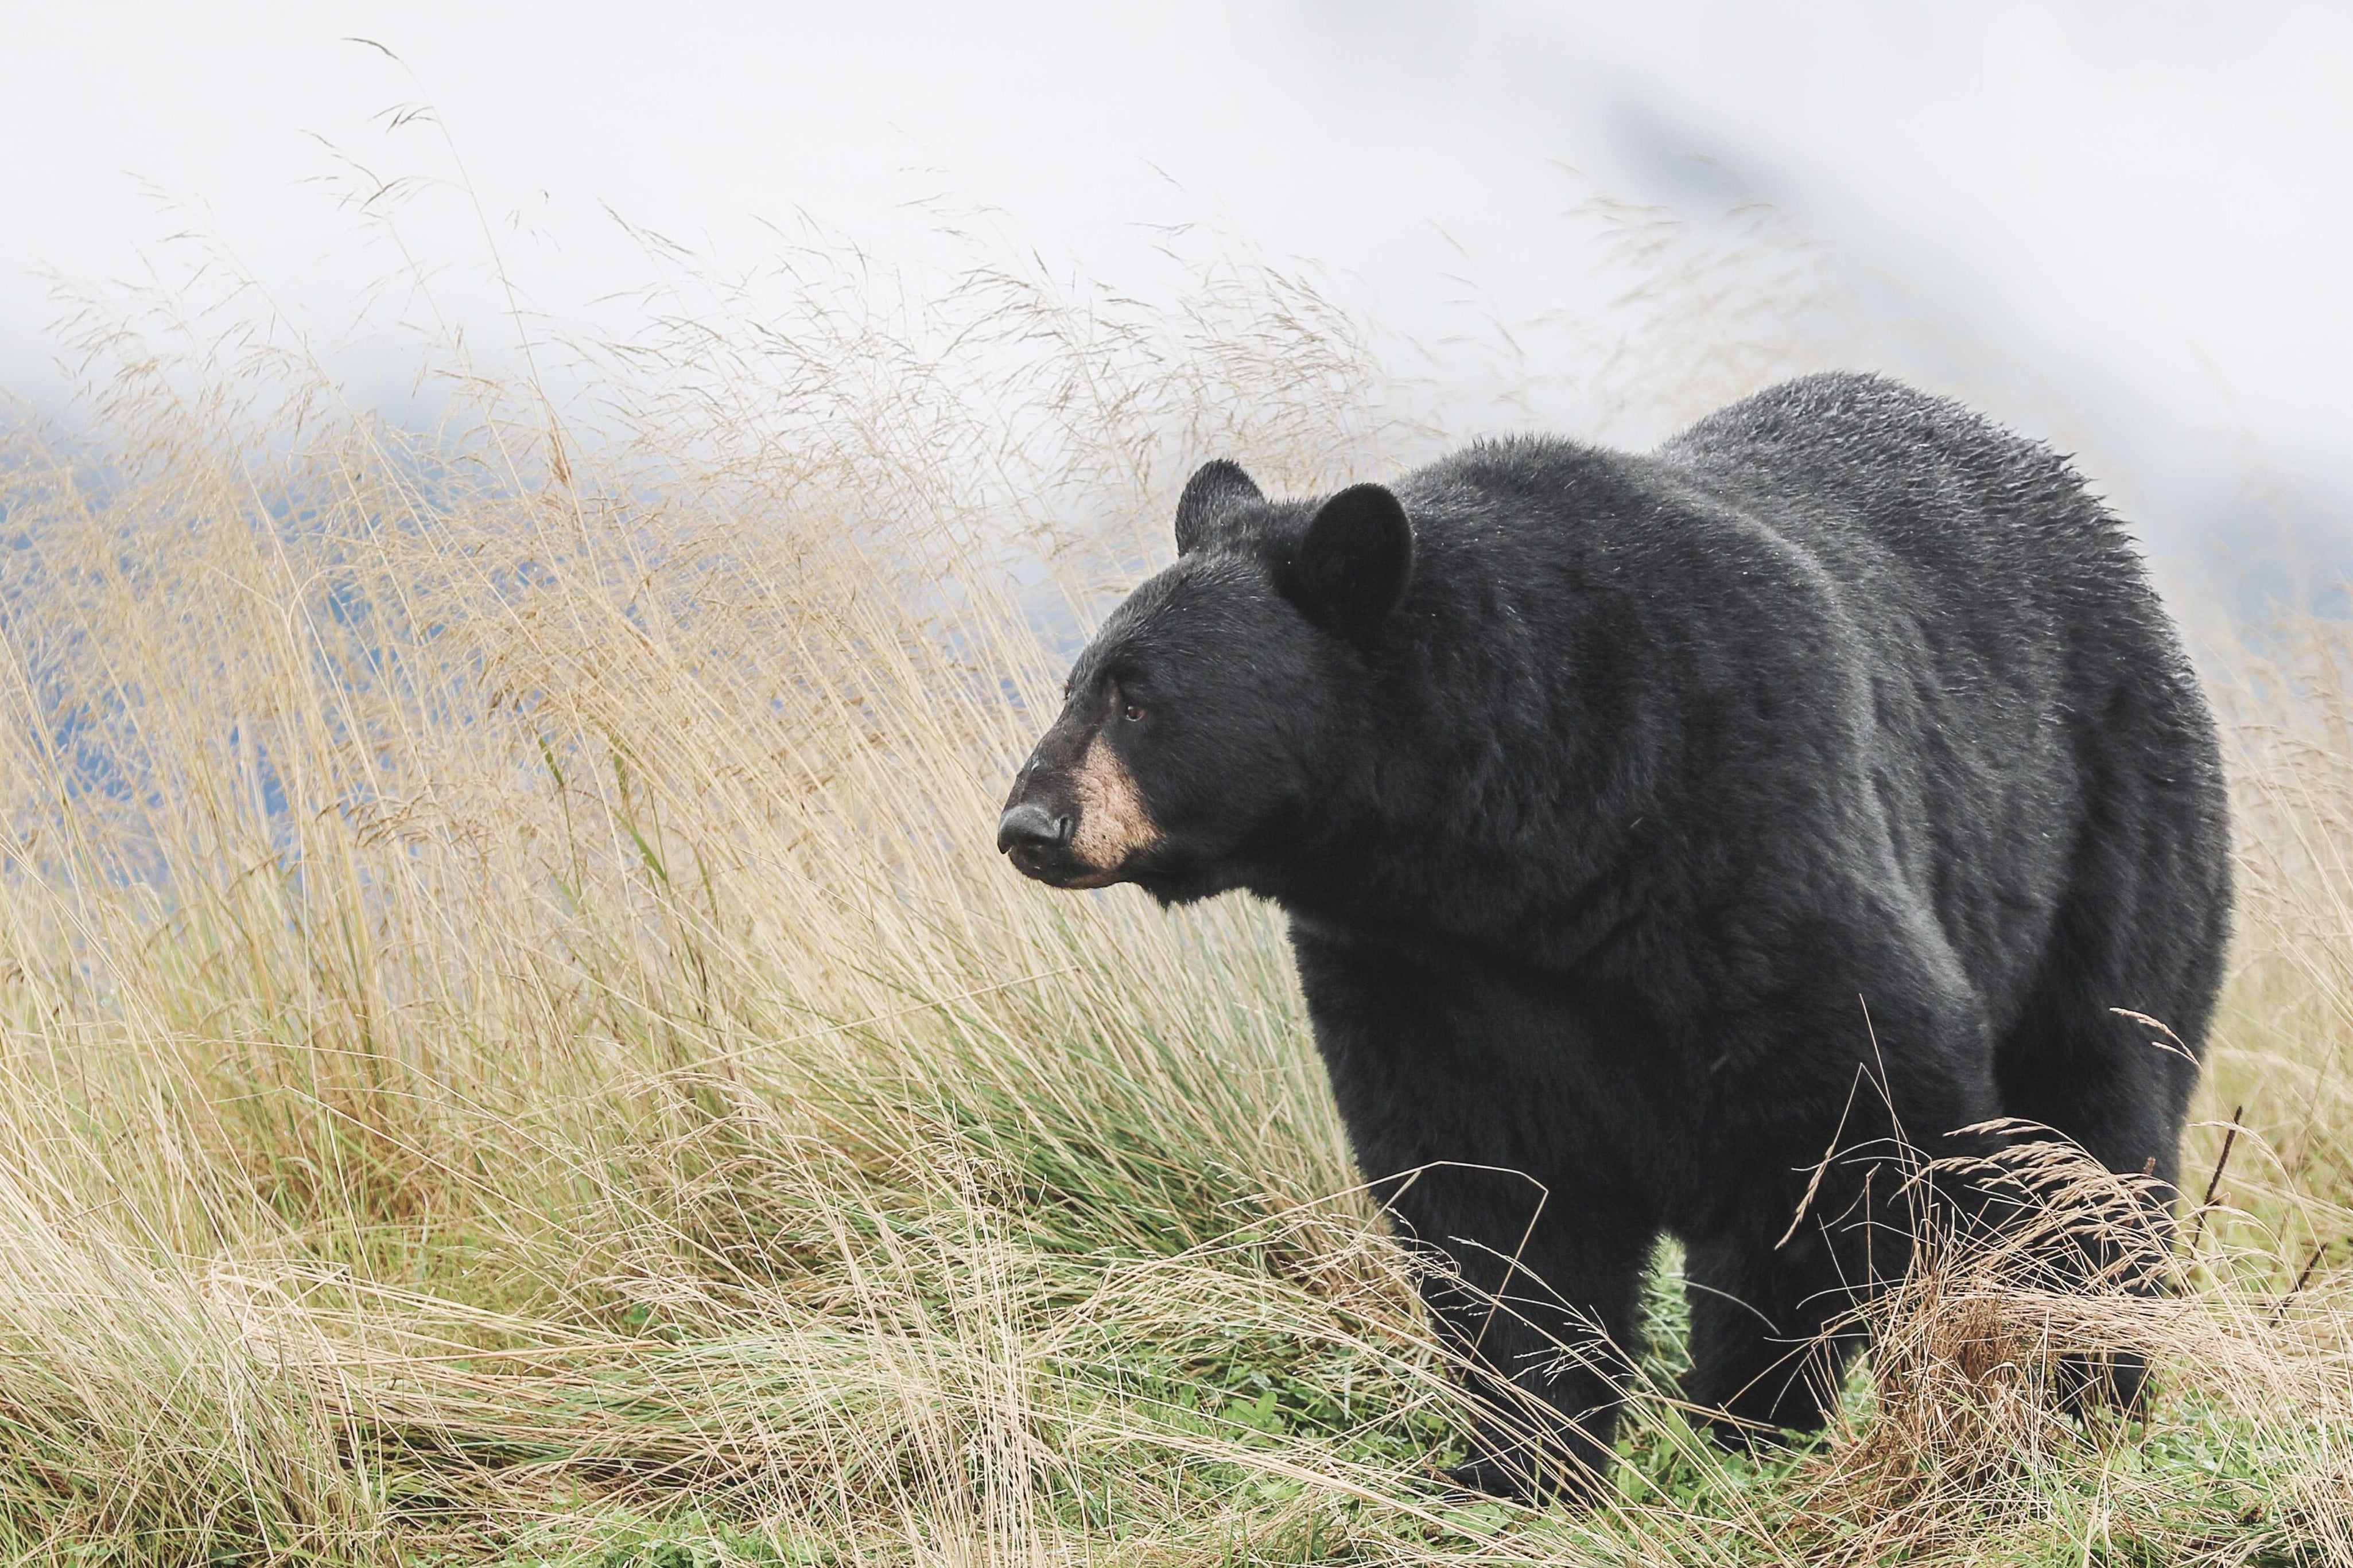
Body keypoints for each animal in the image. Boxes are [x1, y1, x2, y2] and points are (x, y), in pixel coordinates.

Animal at [993, 373, 2221, 1504]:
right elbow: (1490, 1206)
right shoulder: (1419, 974)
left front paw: (1755, 1428)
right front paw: (1517, 1464)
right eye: (1075, 682)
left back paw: (2090, 1396)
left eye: (1139, 696)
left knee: (2099, 1128)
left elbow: (1855, 1118)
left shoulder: (1752, 834)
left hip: (2112, 832)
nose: (1029, 823)